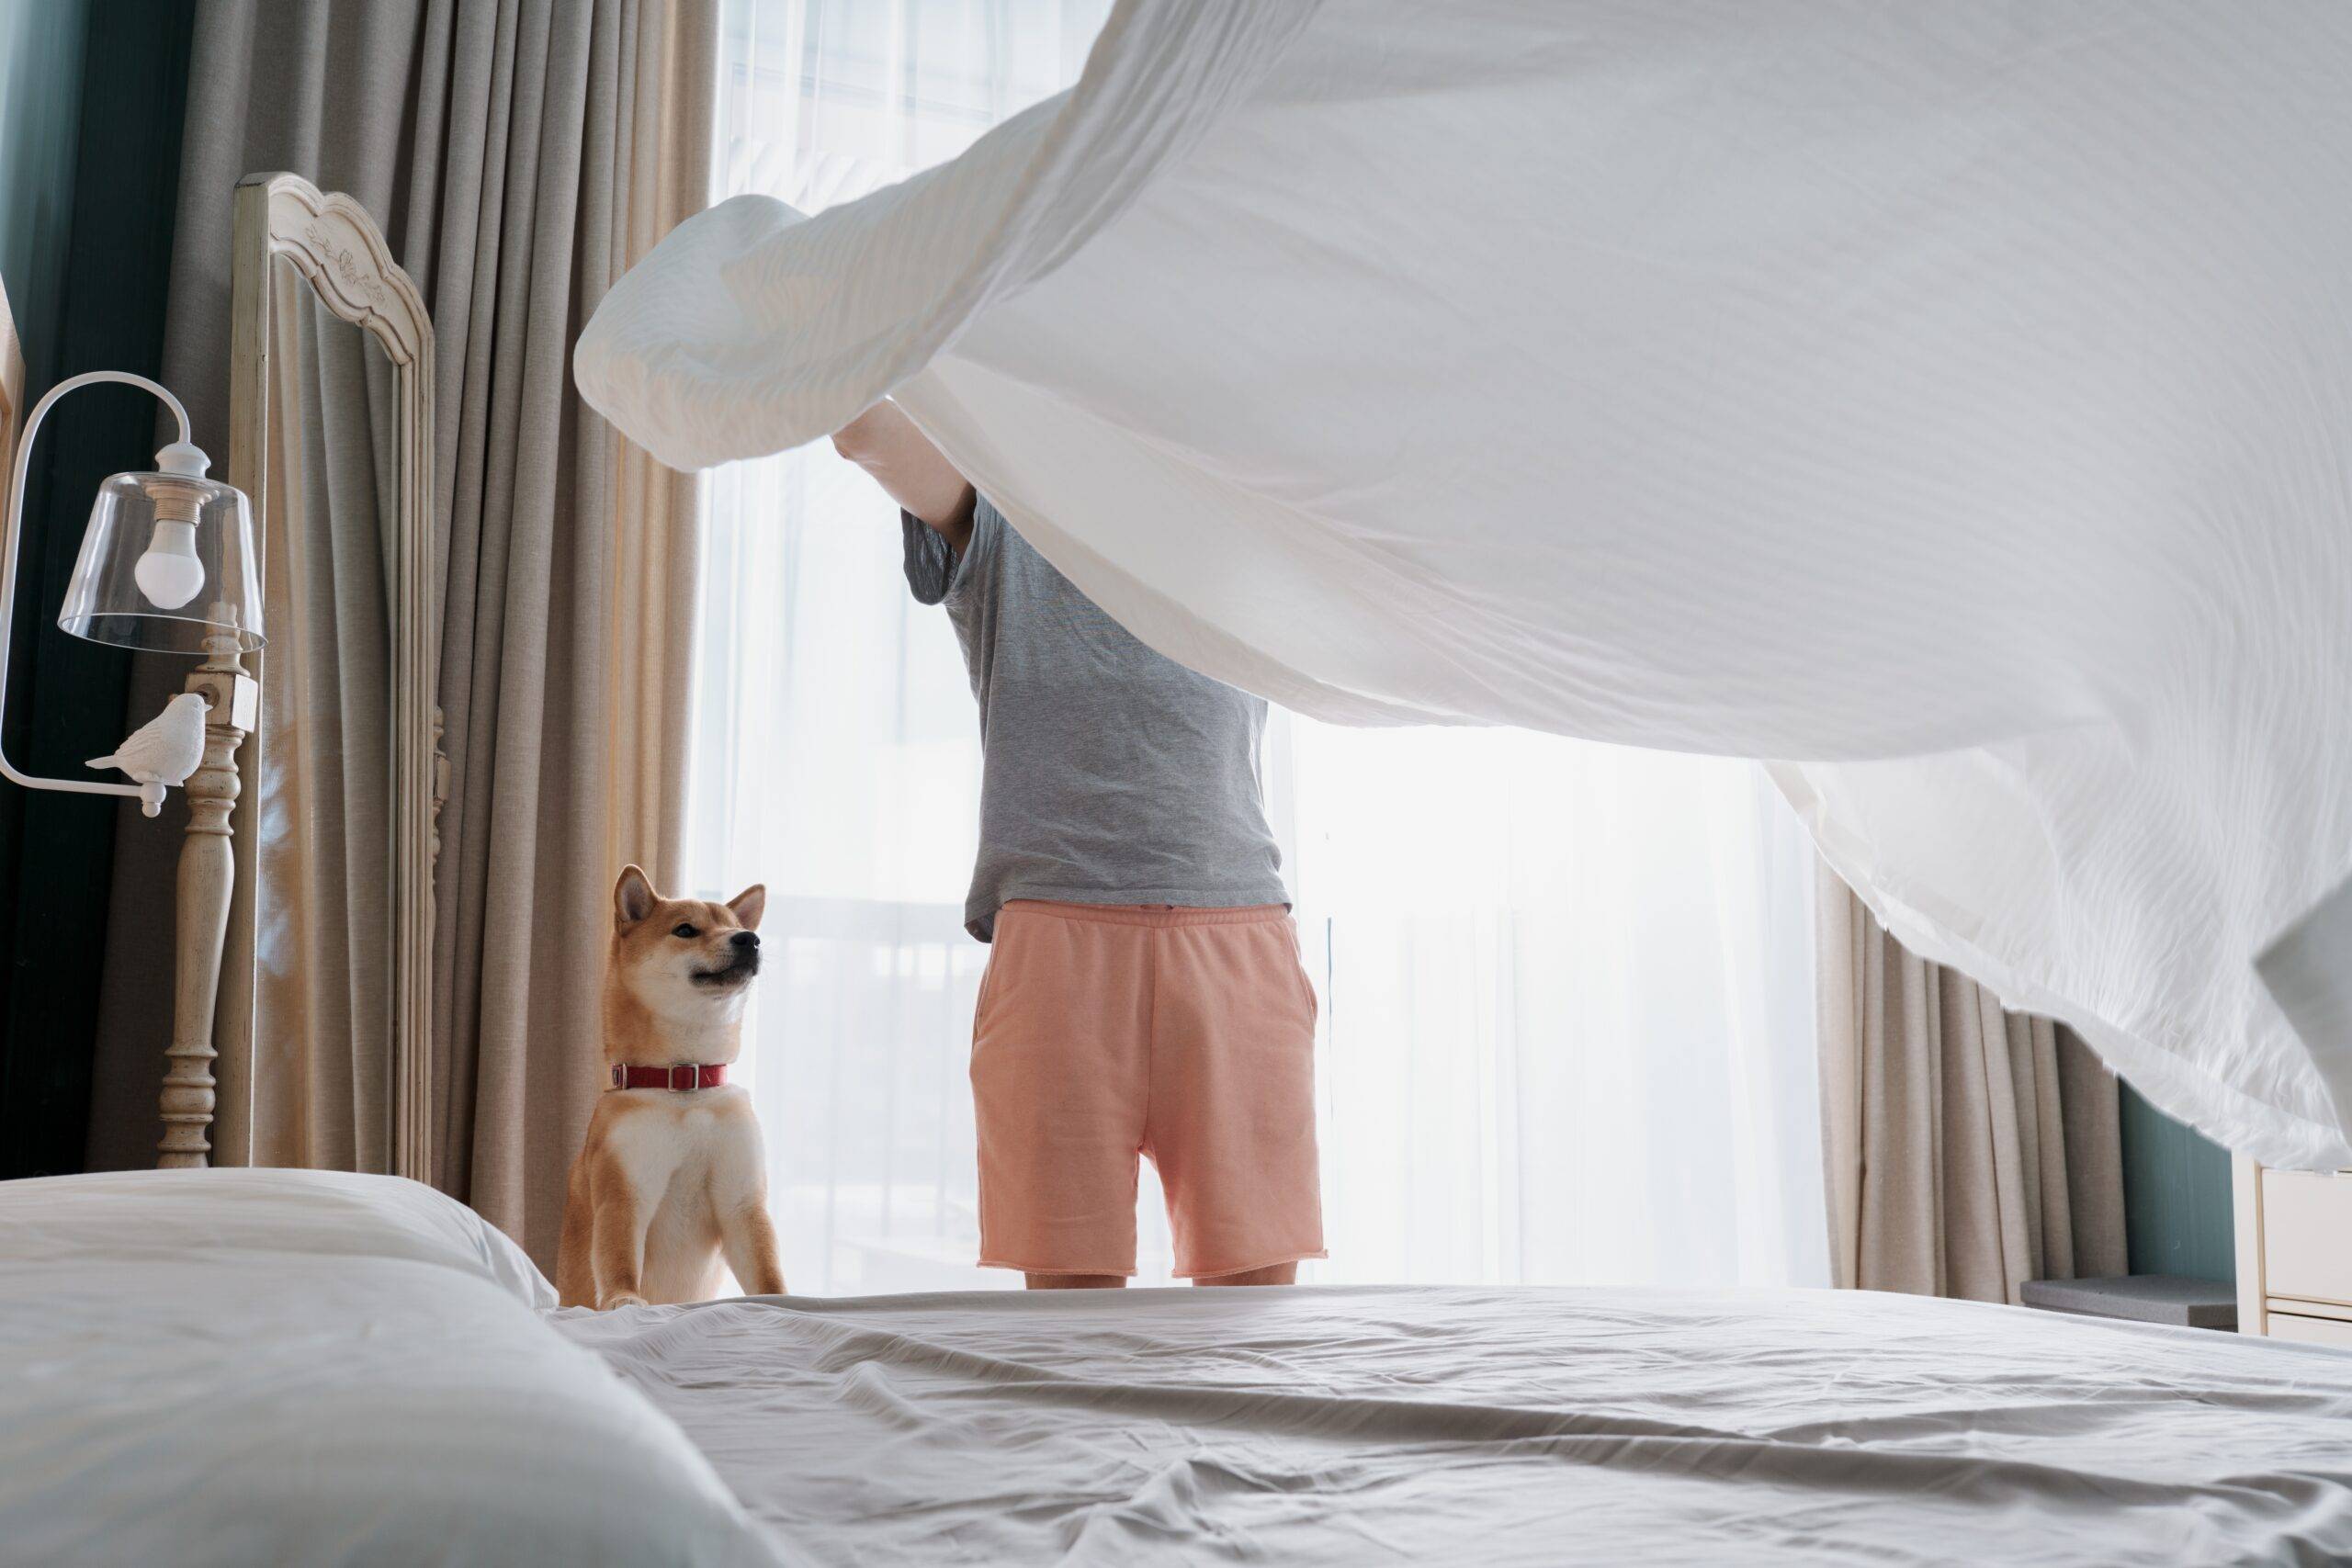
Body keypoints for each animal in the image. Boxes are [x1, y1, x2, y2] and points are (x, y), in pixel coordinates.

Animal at [555, 864, 786, 1306]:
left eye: (735, 926)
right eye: (686, 930)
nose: (749, 938)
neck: (683, 1085)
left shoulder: (742, 1199)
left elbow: (766, 1268)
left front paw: (781, 1298)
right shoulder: (624, 1190)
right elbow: (619, 1255)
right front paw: (624, 1297)